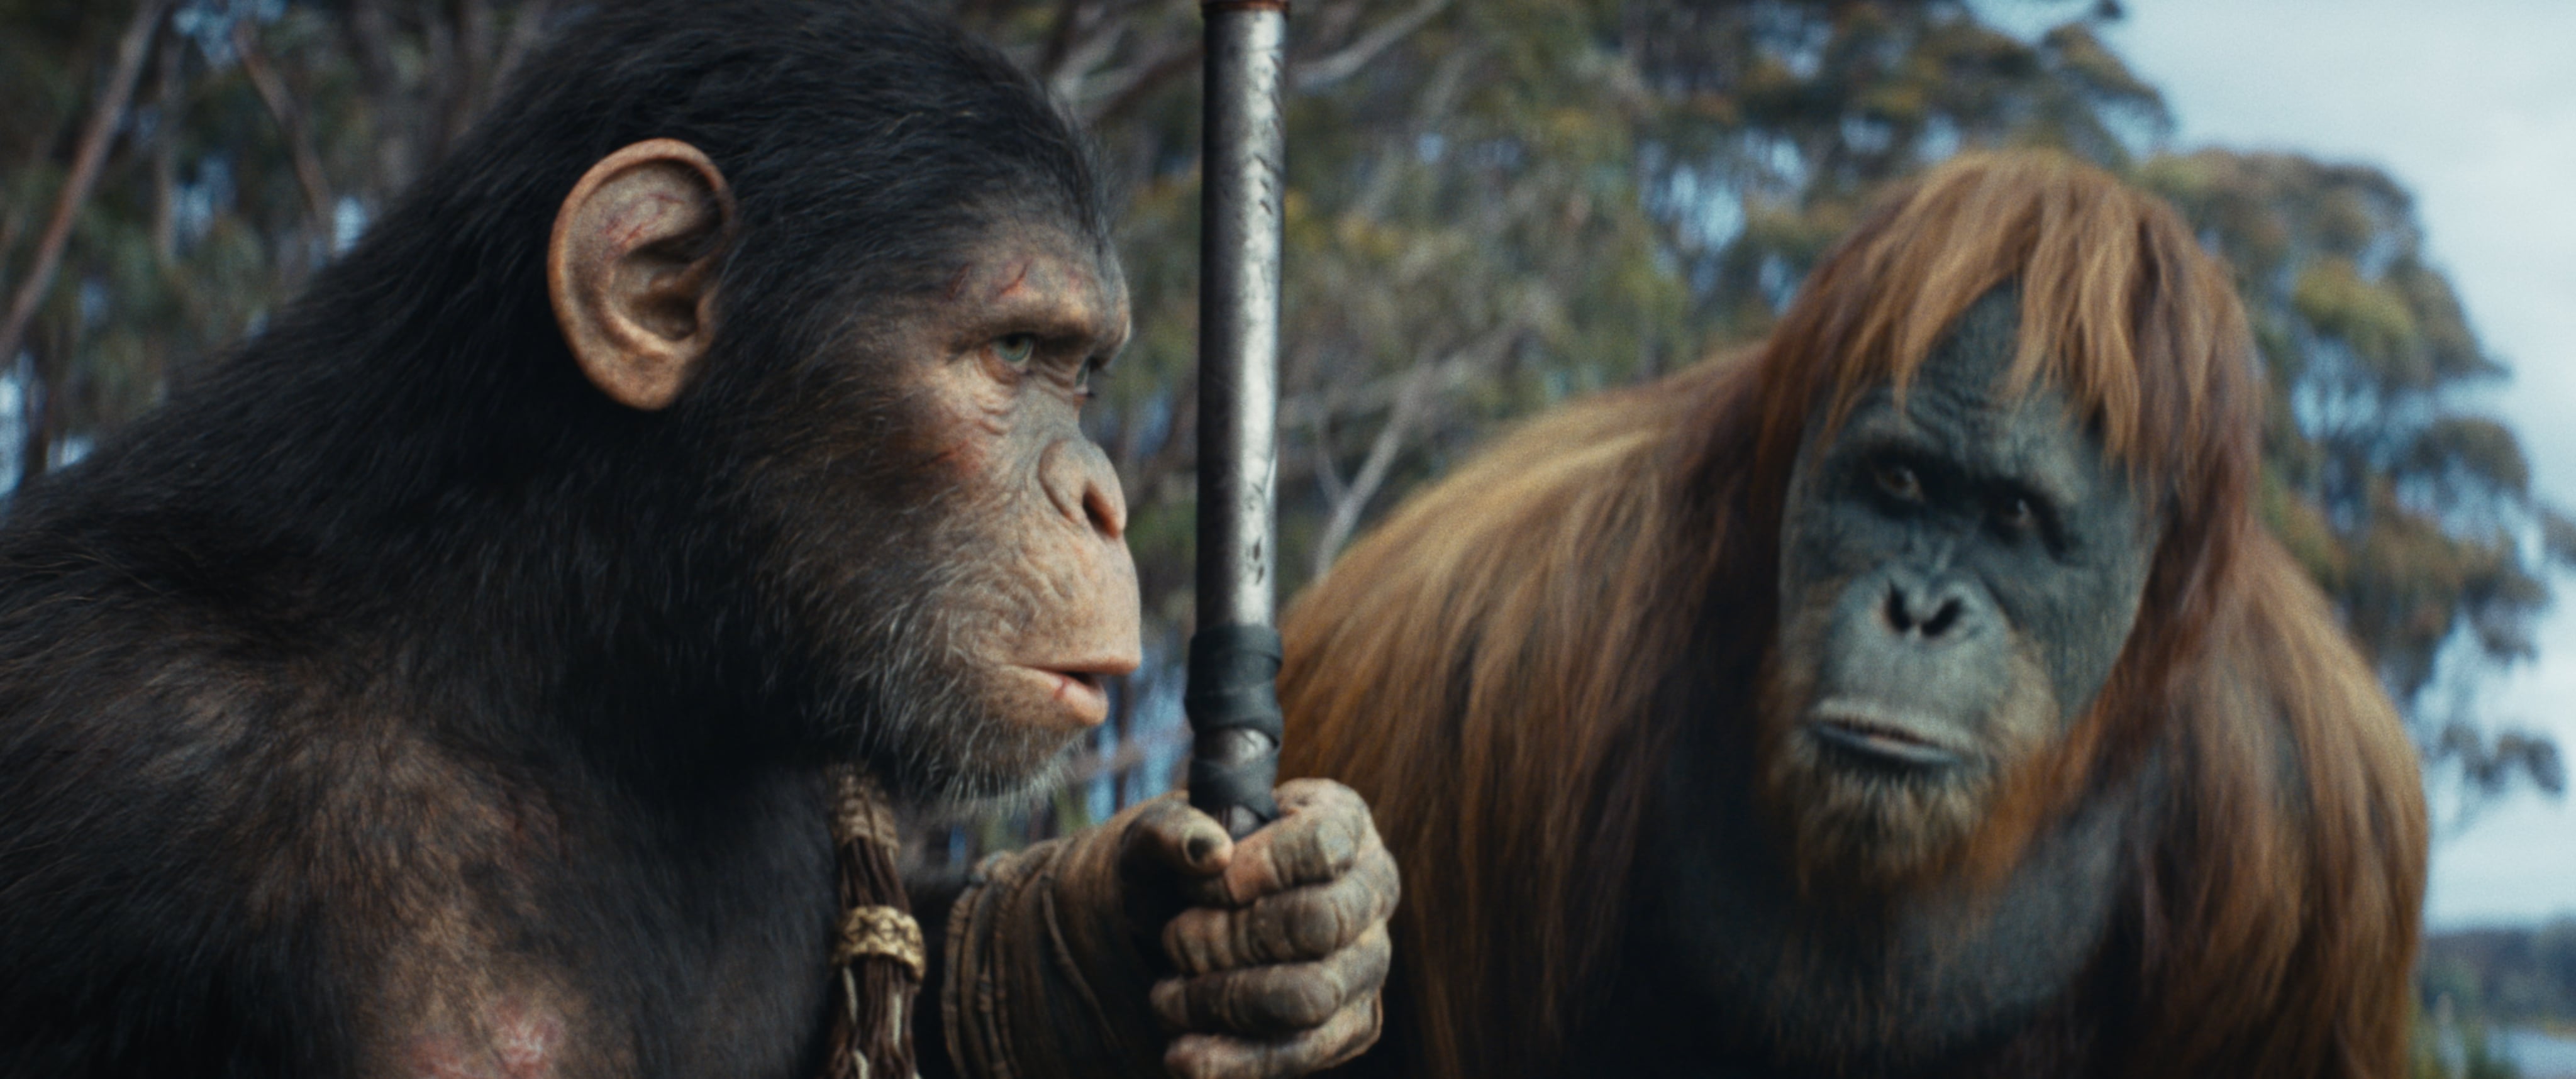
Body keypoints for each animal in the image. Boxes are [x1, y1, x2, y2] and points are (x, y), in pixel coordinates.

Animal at [0, 2, 1391, 1079]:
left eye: (1083, 373)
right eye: (1013, 352)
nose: (1101, 498)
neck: (563, 663)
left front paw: (1147, 932)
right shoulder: (110, 755)